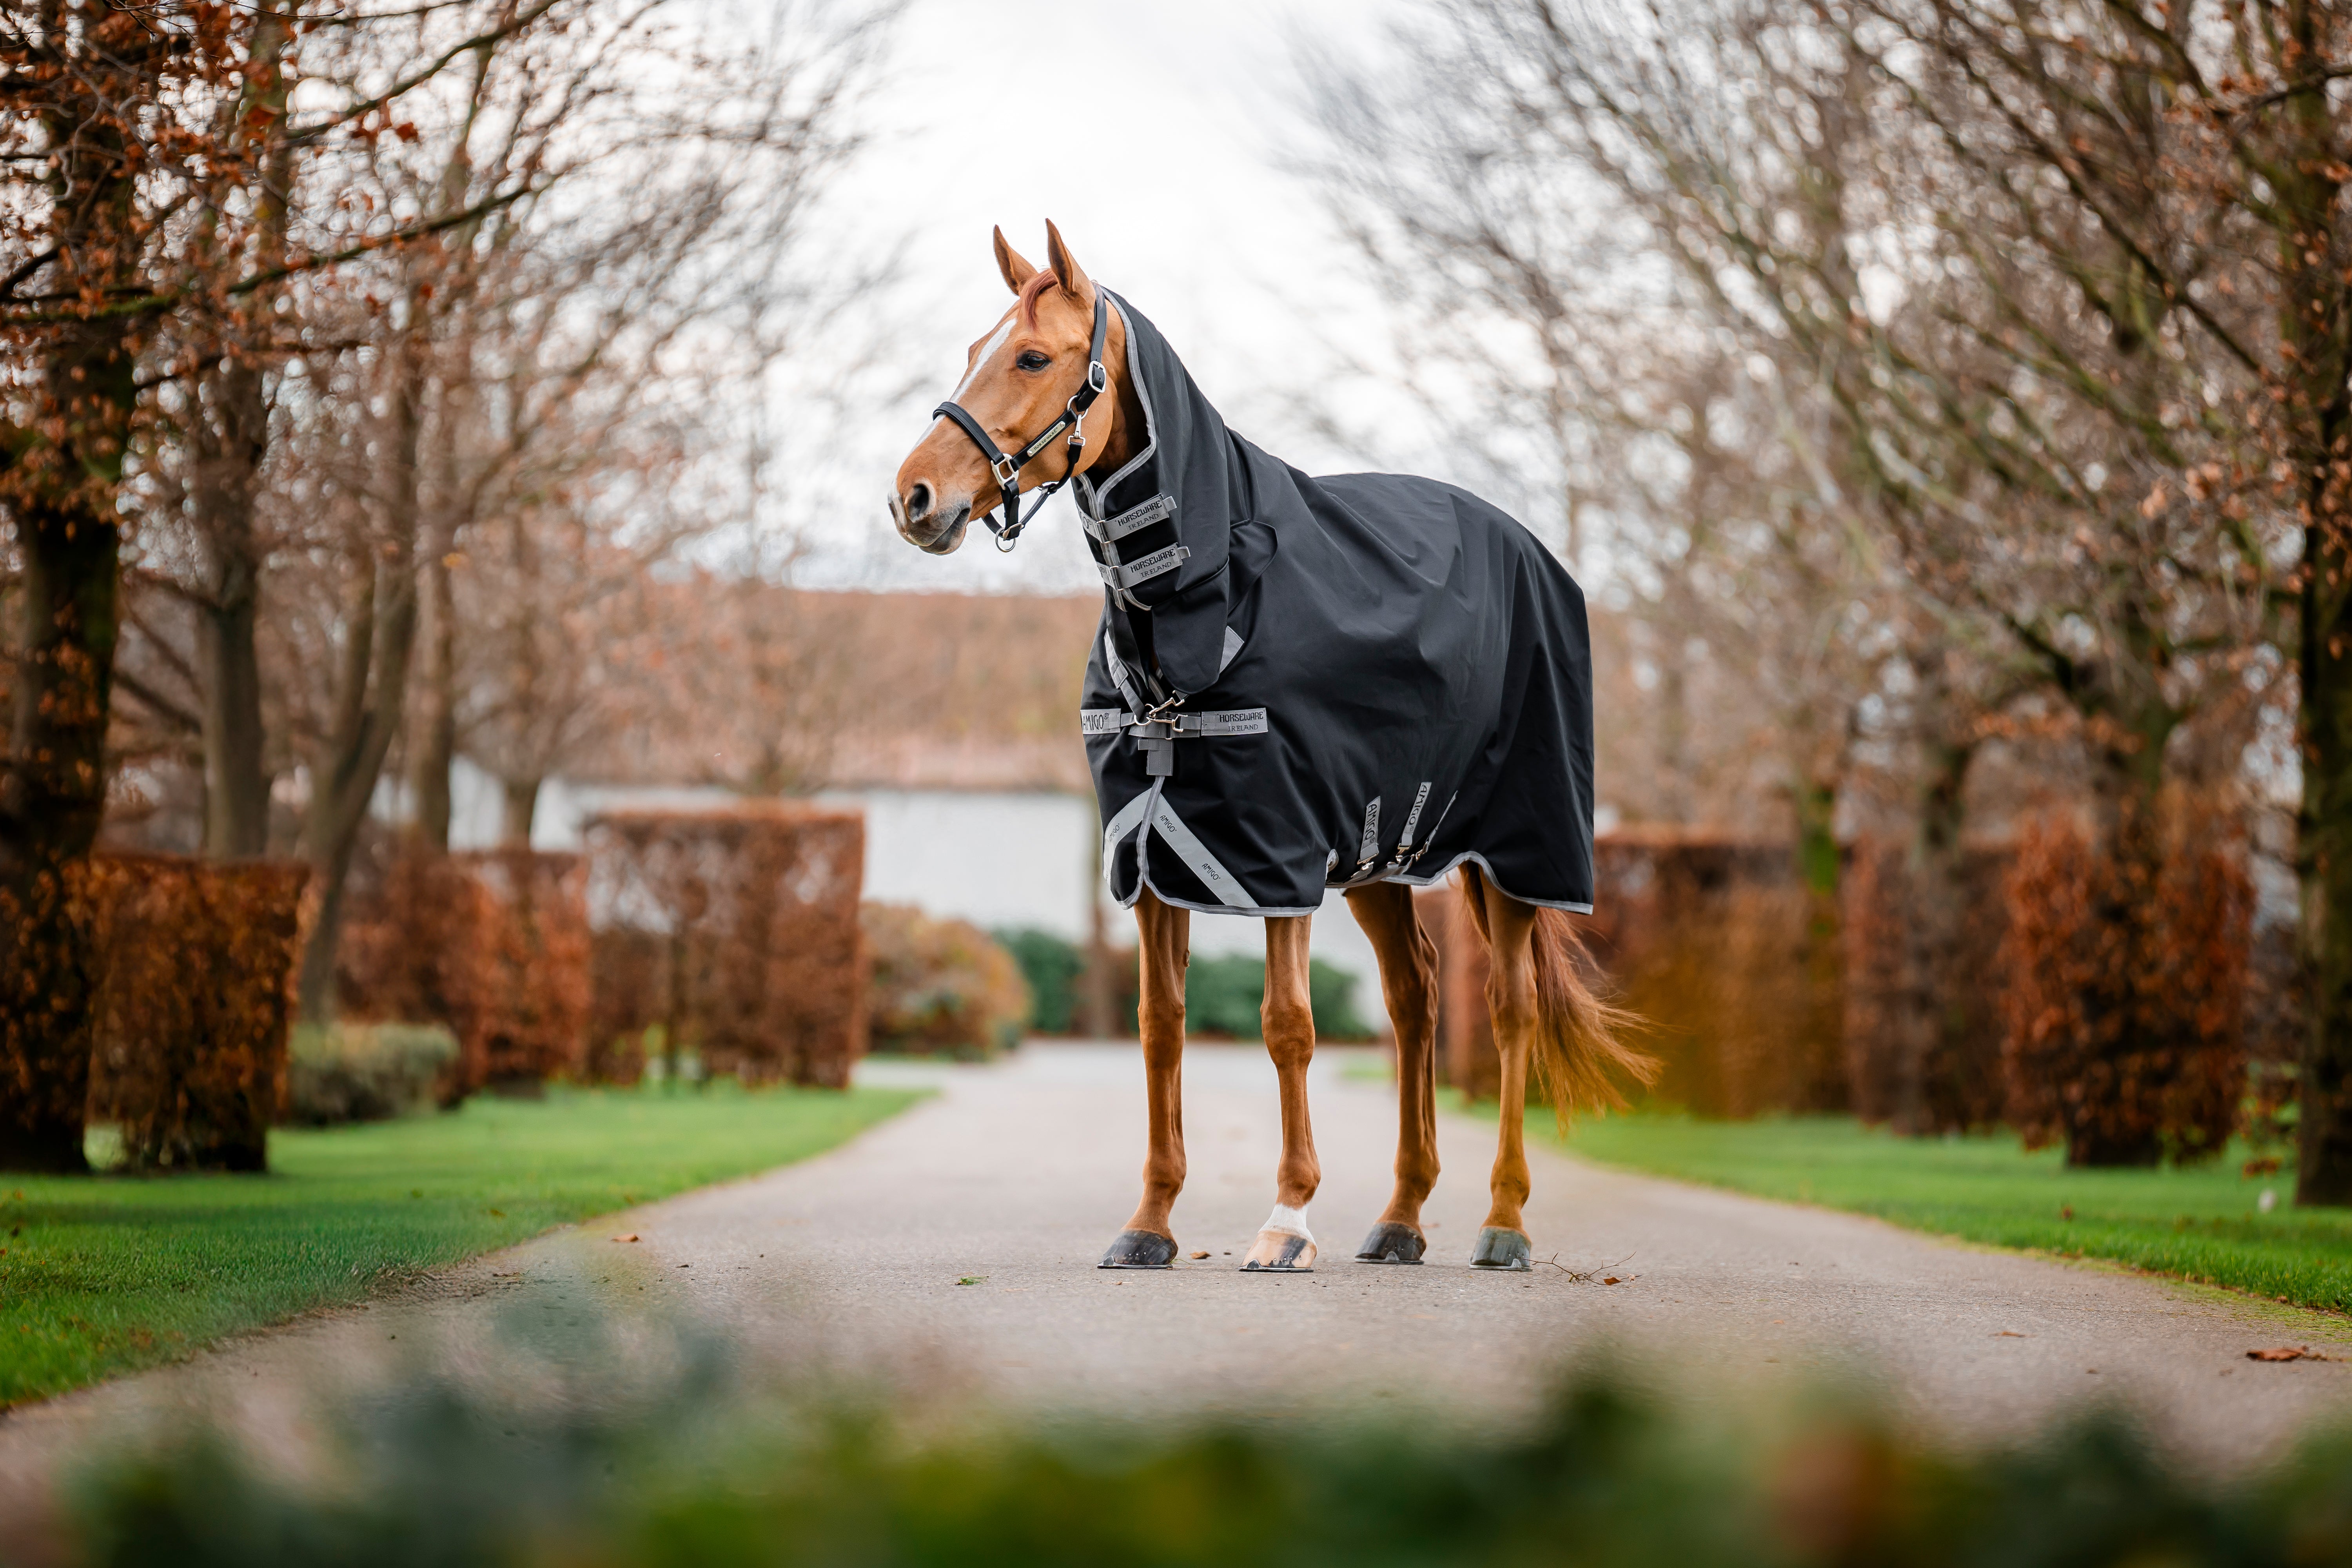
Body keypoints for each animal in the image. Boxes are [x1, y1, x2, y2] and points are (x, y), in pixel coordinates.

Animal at [889, 223, 1651, 1273]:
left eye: (1034, 357)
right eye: (974, 349)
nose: (913, 498)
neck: (1202, 605)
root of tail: (1532, 550)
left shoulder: (1277, 851)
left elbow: (1288, 1025)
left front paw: (1287, 1218)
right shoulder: (1154, 854)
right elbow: (1160, 1028)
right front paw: (1150, 1221)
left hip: (1518, 852)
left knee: (1508, 1009)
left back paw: (1503, 1220)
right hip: (1378, 855)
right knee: (1415, 1001)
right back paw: (1401, 1216)